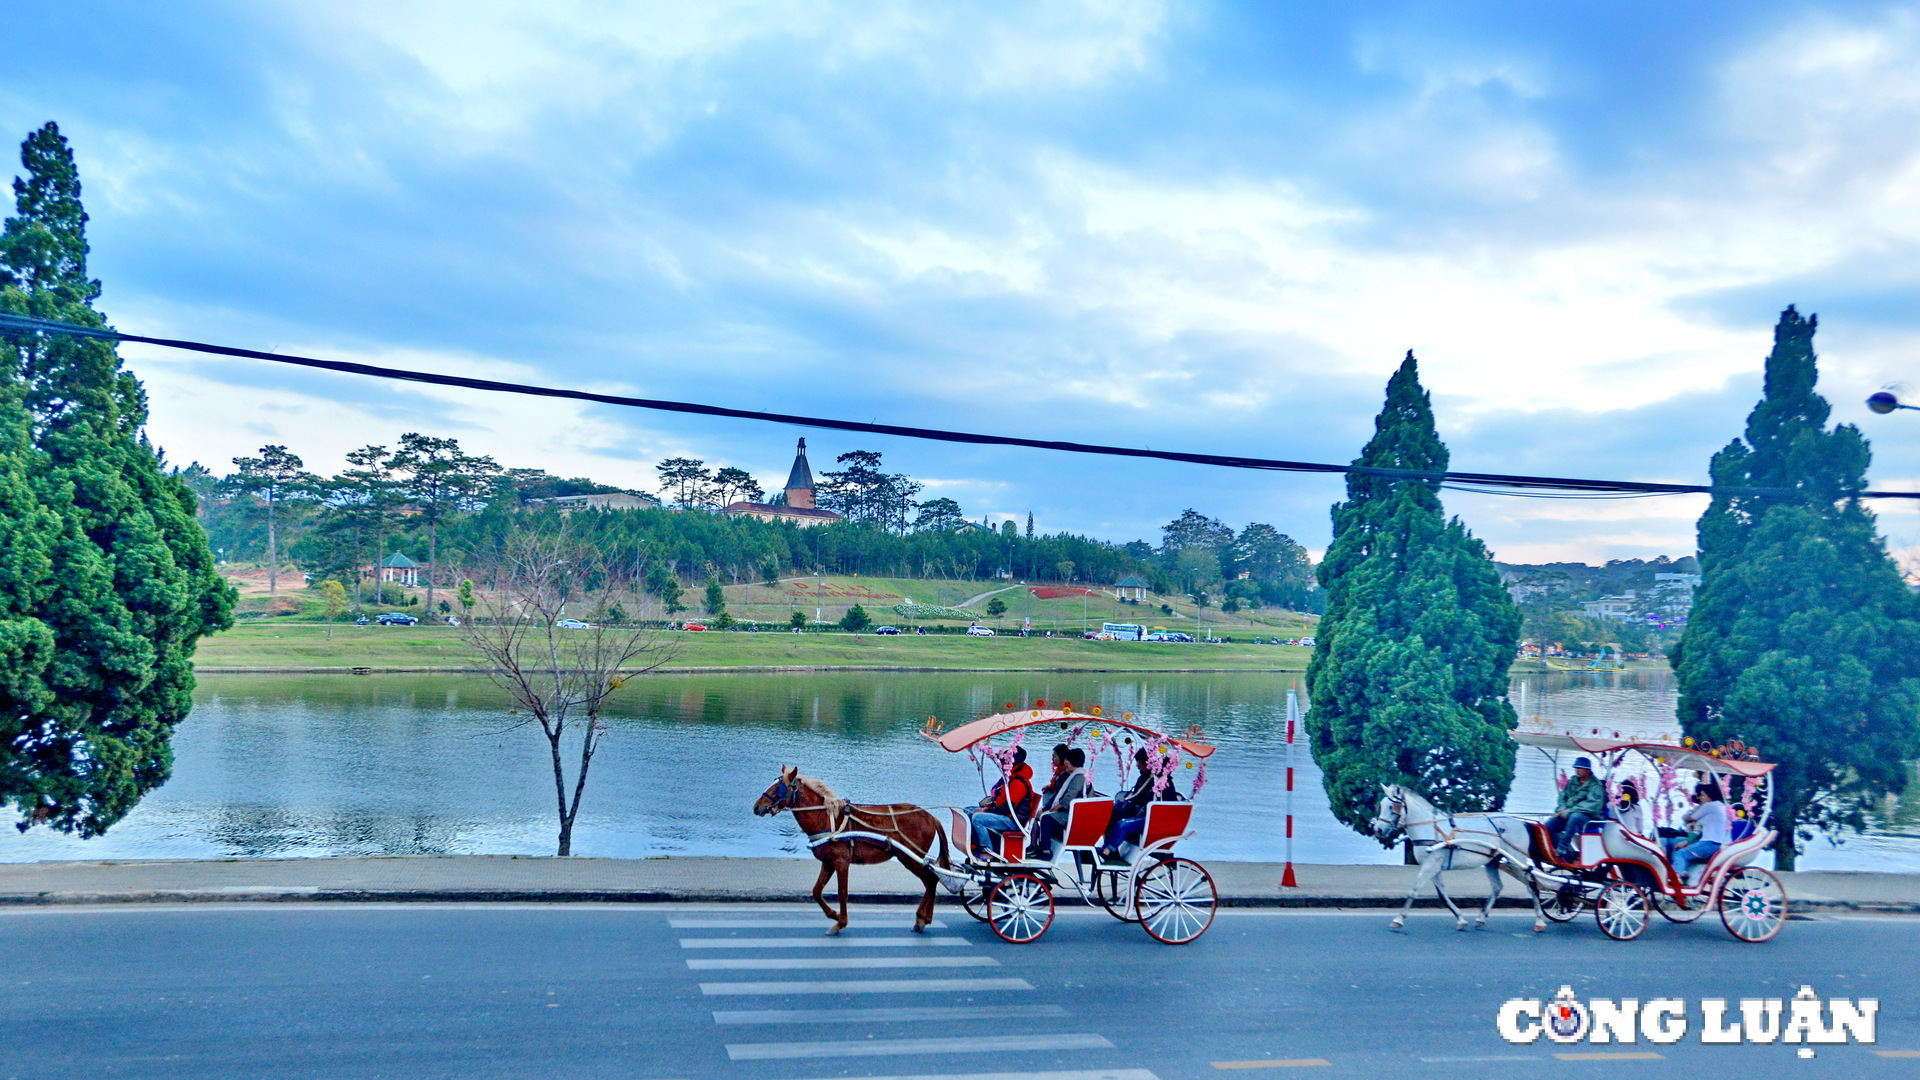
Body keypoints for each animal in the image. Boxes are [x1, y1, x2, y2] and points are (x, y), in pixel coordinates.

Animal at [756, 760, 952, 930]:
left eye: (779, 788)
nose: (756, 807)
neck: (827, 819)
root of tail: (931, 816)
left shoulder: (842, 862)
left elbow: (842, 893)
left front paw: (840, 923)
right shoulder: (828, 862)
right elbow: (816, 891)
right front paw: (834, 915)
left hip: (910, 857)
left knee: (931, 880)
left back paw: (922, 918)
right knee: (930, 882)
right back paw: (923, 918)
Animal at [1374, 780, 1551, 933]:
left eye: (1392, 806)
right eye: (1381, 805)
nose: (1378, 830)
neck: (1431, 828)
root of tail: (1521, 823)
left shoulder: (1431, 865)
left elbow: (1414, 890)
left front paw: (1398, 919)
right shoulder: (1434, 867)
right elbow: (1443, 895)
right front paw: (1461, 919)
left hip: (1517, 860)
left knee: (1531, 885)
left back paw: (1539, 921)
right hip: (1492, 861)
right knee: (1497, 887)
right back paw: (1481, 918)